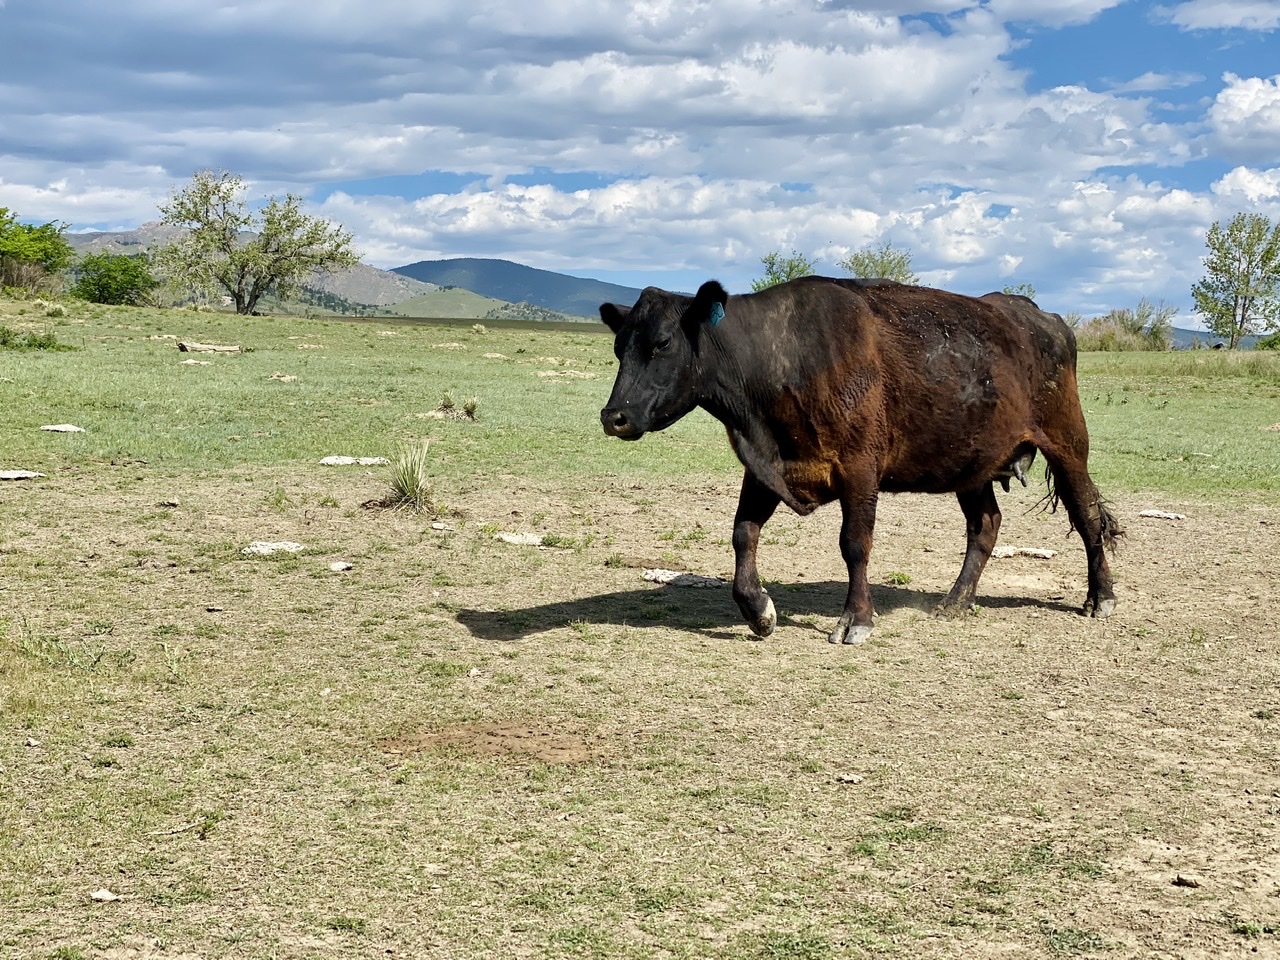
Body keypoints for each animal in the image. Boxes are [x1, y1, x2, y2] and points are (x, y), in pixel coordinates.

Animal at [599, 276, 1120, 645]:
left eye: (663, 342)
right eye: (619, 345)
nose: (613, 416)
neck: (783, 356)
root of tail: (1036, 314)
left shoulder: (860, 469)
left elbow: (855, 544)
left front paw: (856, 619)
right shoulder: (766, 467)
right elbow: (743, 533)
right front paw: (759, 610)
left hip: (1068, 443)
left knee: (1088, 516)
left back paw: (1102, 597)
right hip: (970, 463)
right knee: (985, 525)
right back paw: (956, 600)